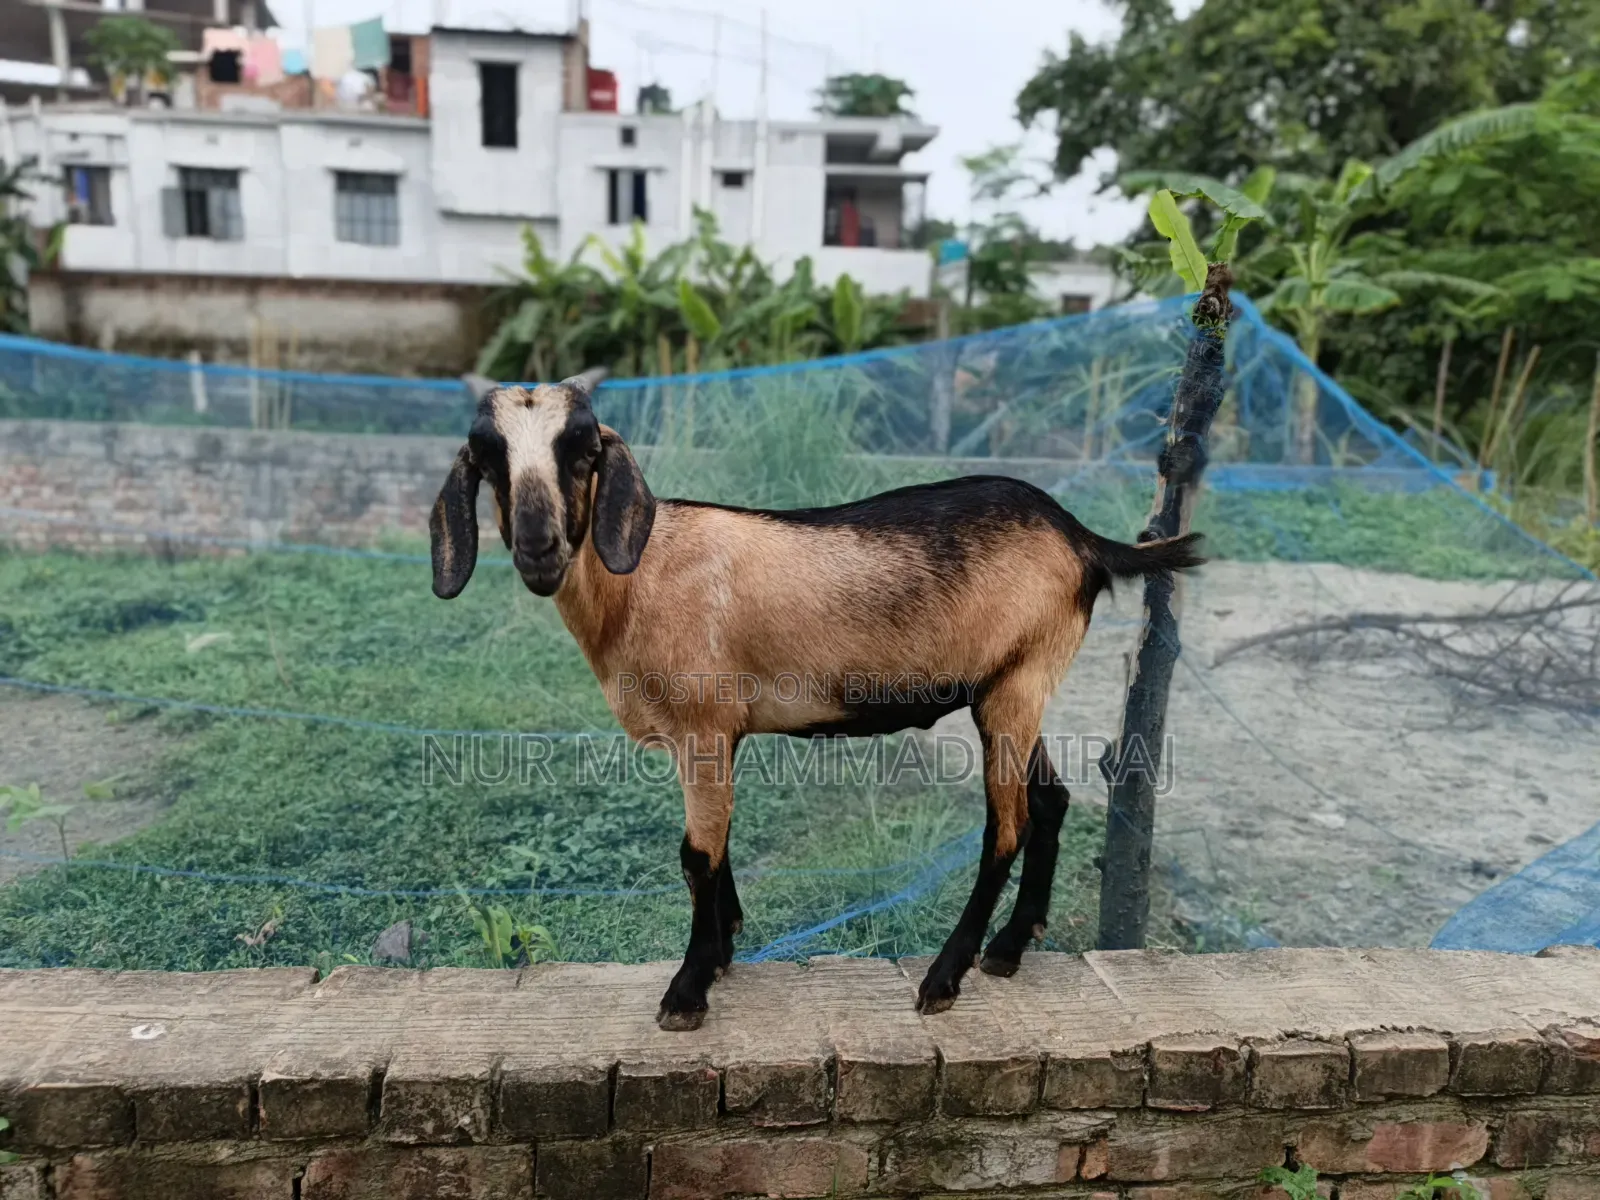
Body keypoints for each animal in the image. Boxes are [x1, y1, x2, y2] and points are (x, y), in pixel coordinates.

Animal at [429, 375, 1204, 1030]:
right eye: (487, 456)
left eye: (584, 450)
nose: (538, 546)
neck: (640, 578)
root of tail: (1082, 539)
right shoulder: (715, 736)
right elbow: (719, 842)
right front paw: (722, 952)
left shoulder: (703, 726)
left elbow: (696, 854)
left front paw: (687, 990)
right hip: (1017, 681)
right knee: (1050, 799)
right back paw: (1010, 947)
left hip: (1014, 688)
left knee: (1005, 827)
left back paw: (943, 979)